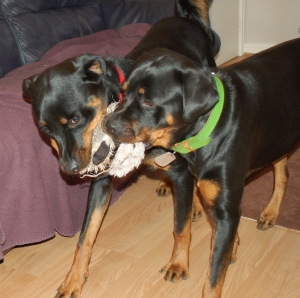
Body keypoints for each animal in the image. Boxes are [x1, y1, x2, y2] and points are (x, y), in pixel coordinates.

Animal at [21, 1, 219, 296]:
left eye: (76, 119)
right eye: (46, 130)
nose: (69, 170)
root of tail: (186, 19)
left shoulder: (181, 170)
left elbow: (180, 226)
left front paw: (178, 263)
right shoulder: (102, 179)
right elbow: (85, 236)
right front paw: (74, 279)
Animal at [103, 38, 300, 296]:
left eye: (149, 101)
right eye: (123, 92)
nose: (106, 124)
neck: (206, 129)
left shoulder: (225, 208)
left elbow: (215, 274)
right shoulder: (205, 193)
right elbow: (189, 231)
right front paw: (185, 261)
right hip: (277, 137)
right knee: (282, 171)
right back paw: (270, 212)